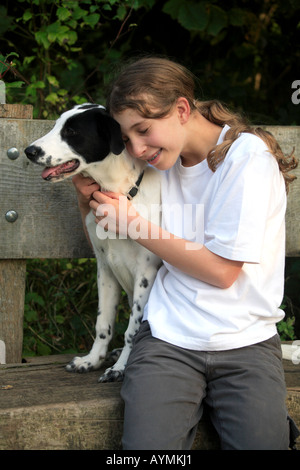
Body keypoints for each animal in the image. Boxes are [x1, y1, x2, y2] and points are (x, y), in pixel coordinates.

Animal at [24, 103, 162, 382]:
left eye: (72, 131)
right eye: (56, 125)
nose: (29, 151)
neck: (118, 193)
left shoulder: (147, 273)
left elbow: (133, 329)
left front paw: (121, 367)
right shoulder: (105, 267)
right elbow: (103, 324)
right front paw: (92, 360)